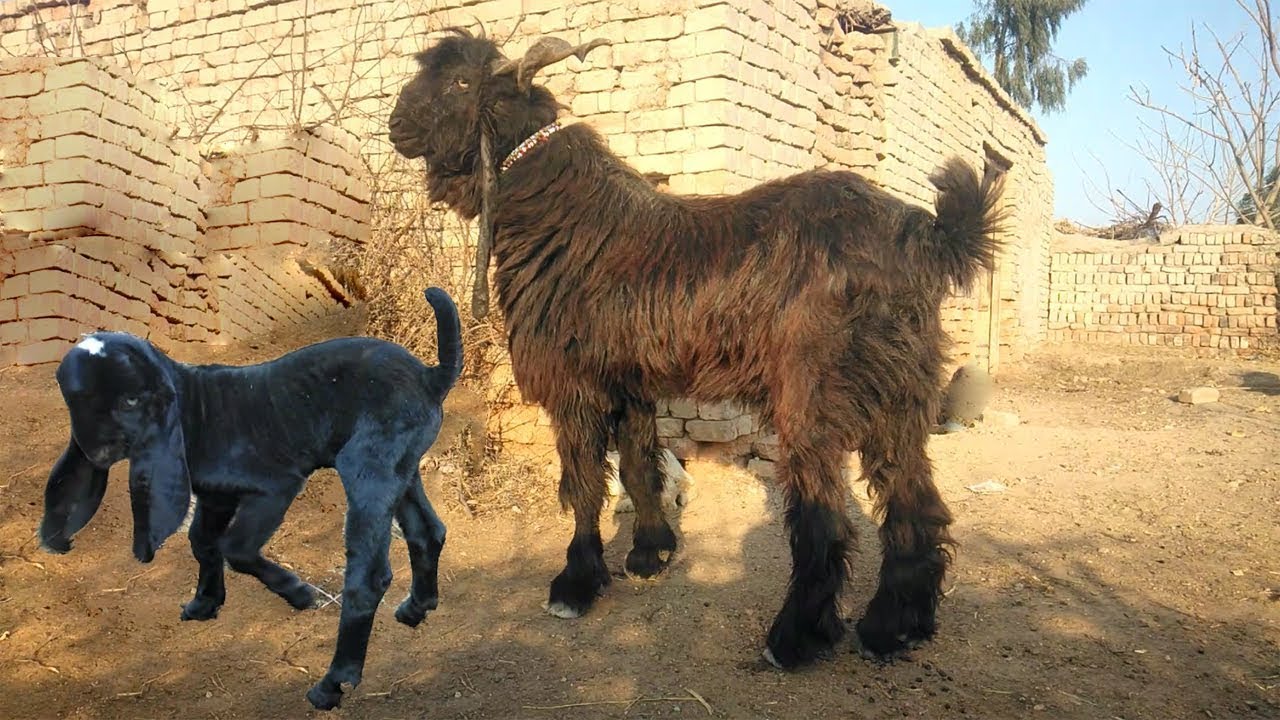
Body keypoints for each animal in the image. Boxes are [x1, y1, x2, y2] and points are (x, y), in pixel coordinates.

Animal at [37, 287, 464, 710]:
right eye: (77, 401)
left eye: (131, 401)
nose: (100, 452)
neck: (196, 407)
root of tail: (430, 376)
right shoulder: (217, 496)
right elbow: (202, 543)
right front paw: (206, 602)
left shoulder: (274, 487)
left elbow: (236, 548)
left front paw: (299, 593)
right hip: (401, 467)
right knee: (427, 531)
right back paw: (416, 608)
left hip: (368, 467)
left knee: (369, 576)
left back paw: (333, 683)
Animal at [388, 29, 1004, 668]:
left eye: (463, 82)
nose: (395, 123)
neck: (555, 203)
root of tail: (926, 237)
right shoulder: (629, 381)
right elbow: (639, 467)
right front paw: (651, 554)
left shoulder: (575, 381)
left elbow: (584, 485)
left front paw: (576, 582)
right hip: (901, 397)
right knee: (916, 506)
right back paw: (897, 626)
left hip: (815, 400)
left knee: (826, 522)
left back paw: (795, 638)